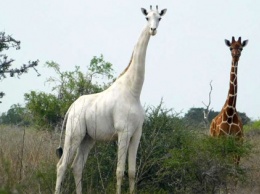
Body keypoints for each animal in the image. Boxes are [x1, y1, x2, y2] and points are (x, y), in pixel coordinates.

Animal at [54, 6, 167, 194]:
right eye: (146, 17)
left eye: (159, 18)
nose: (153, 30)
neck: (133, 91)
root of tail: (71, 108)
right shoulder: (123, 132)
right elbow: (120, 171)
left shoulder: (137, 133)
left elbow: (132, 172)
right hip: (74, 133)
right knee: (62, 165)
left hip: (88, 138)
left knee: (77, 166)